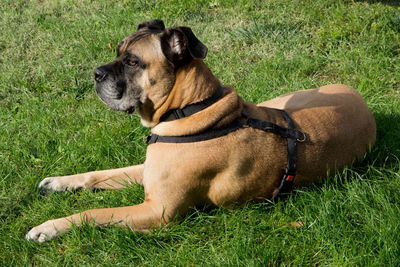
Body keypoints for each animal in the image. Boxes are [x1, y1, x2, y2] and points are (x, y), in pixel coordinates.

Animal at [26, 19, 376, 244]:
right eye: (117, 52)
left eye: (132, 62)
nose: (96, 74)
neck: (190, 109)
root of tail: (362, 101)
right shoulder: (146, 171)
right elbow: (99, 174)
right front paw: (58, 182)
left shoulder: (157, 212)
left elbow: (94, 212)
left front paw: (49, 227)